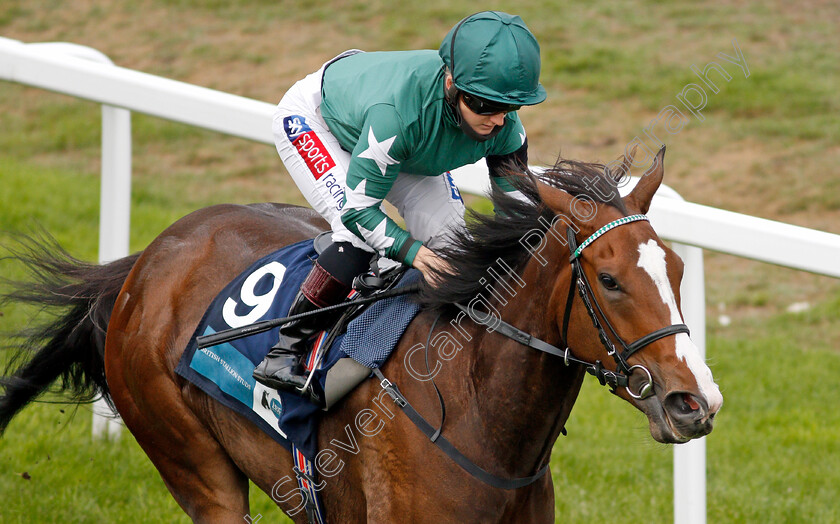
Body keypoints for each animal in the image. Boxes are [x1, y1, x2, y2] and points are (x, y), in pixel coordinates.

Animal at [0, 145, 720, 520]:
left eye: (679, 269)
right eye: (611, 281)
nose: (695, 402)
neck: (480, 417)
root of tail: (142, 264)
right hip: (190, 457)